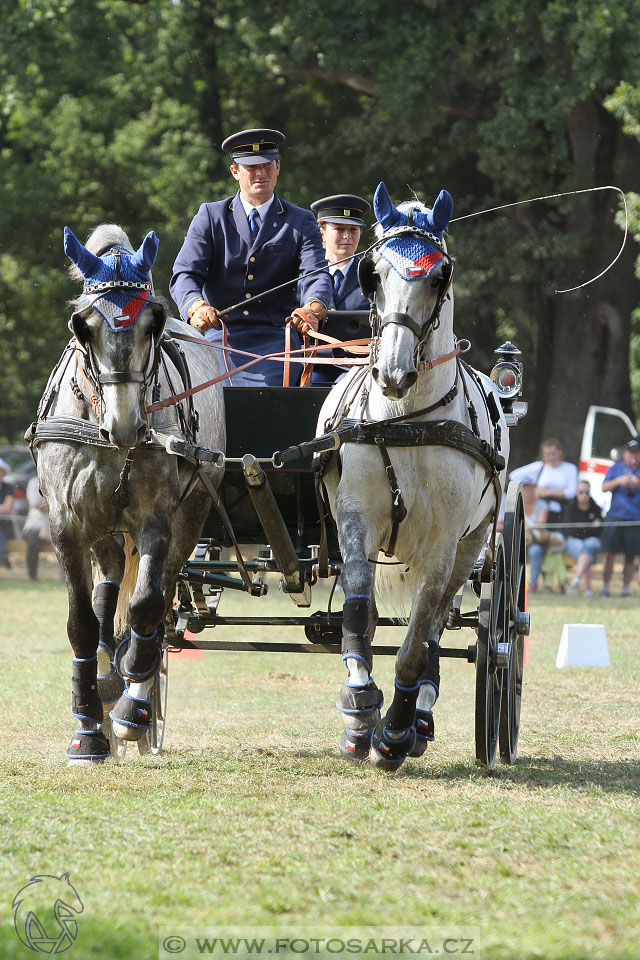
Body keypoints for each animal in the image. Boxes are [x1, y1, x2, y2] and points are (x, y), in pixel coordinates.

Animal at [316, 184, 510, 772]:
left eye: (439, 275)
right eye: (373, 272)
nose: (394, 374)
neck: (407, 423)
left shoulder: (444, 545)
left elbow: (418, 638)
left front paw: (394, 734)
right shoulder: (355, 521)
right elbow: (358, 612)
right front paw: (359, 711)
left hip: (472, 545)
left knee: (440, 626)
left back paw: (418, 718)